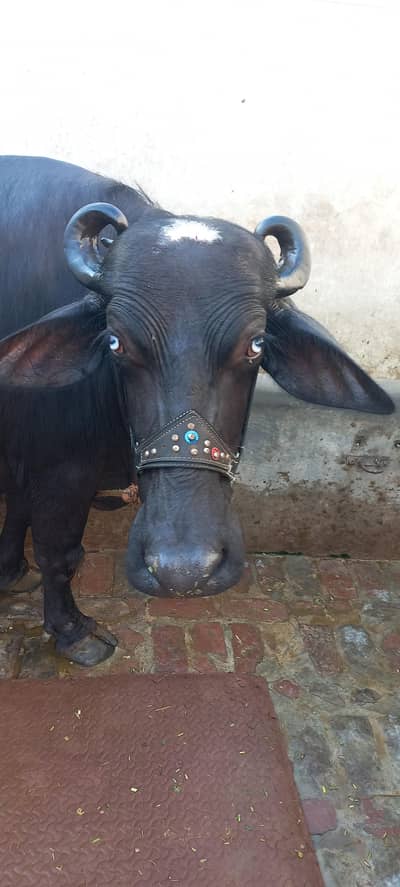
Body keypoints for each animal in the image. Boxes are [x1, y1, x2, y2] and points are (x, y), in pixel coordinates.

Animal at [0, 156, 393, 666]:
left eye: (256, 344)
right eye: (115, 341)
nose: (184, 570)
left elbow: (18, 509)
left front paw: (10, 570)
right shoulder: (57, 467)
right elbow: (59, 551)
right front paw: (73, 631)